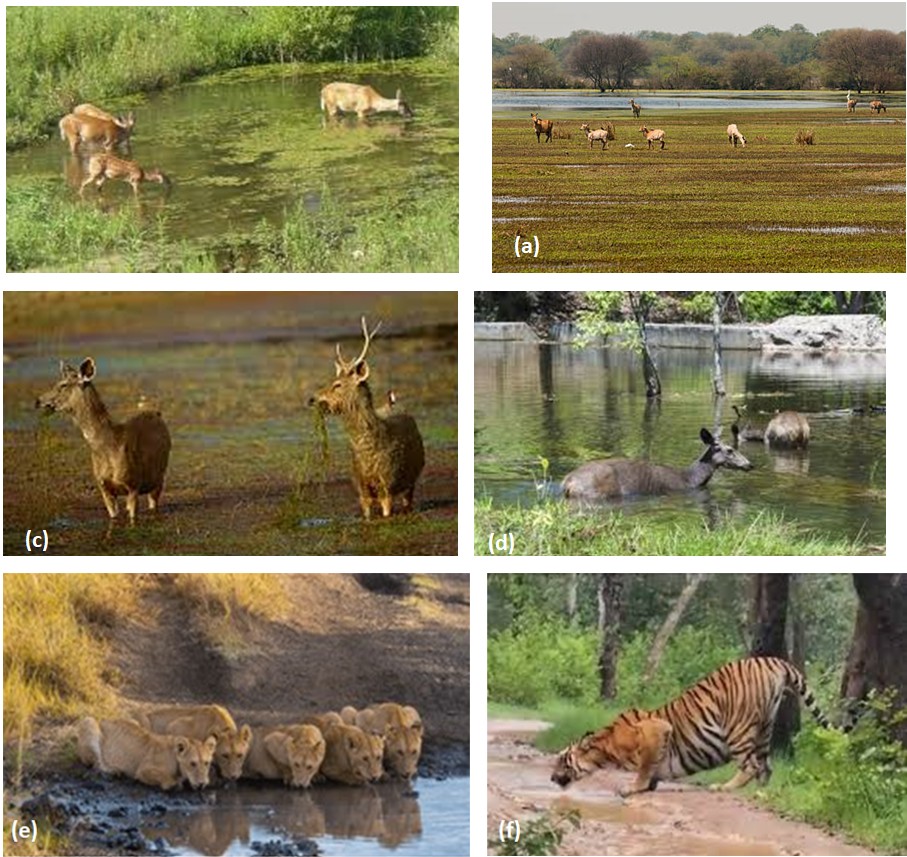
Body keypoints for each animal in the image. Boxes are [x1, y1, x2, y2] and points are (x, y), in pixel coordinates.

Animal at [35, 358, 172, 524]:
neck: (109, 446)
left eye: (63, 385)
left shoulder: (133, 485)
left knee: (154, 501)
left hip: (159, 477)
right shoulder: (104, 488)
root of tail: (158, 414)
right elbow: (113, 516)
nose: (38, 400)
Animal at [77, 716, 216, 791]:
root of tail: (103, 719)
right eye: (192, 763)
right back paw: (114, 771)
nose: (202, 784)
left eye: (206, 763)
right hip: (88, 721)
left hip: (134, 721)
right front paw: (175, 784)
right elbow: (167, 779)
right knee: (96, 763)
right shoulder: (143, 770)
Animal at [308, 318, 424, 519]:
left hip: (412, 478)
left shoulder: (387, 484)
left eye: (337, 384)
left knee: (408, 499)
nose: (312, 399)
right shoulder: (361, 488)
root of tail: (393, 401)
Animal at [551, 656, 847, 796]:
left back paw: (724, 788)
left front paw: (632, 788)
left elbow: (645, 767)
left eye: (563, 761)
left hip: (738, 729)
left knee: (751, 765)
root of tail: (772, 660)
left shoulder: (656, 730)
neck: (606, 748)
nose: (552, 778)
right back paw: (761, 792)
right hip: (764, 727)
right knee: (766, 766)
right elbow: (652, 771)